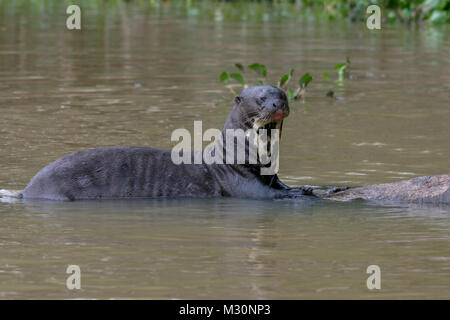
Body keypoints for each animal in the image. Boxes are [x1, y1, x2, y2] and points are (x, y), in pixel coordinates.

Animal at [22, 85, 312, 200]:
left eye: (283, 95)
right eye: (262, 99)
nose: (277, 105)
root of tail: (28, 189)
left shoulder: (271, 176)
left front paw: (306, 187)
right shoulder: (240, 181)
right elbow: (270, 195)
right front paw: (302, 193)